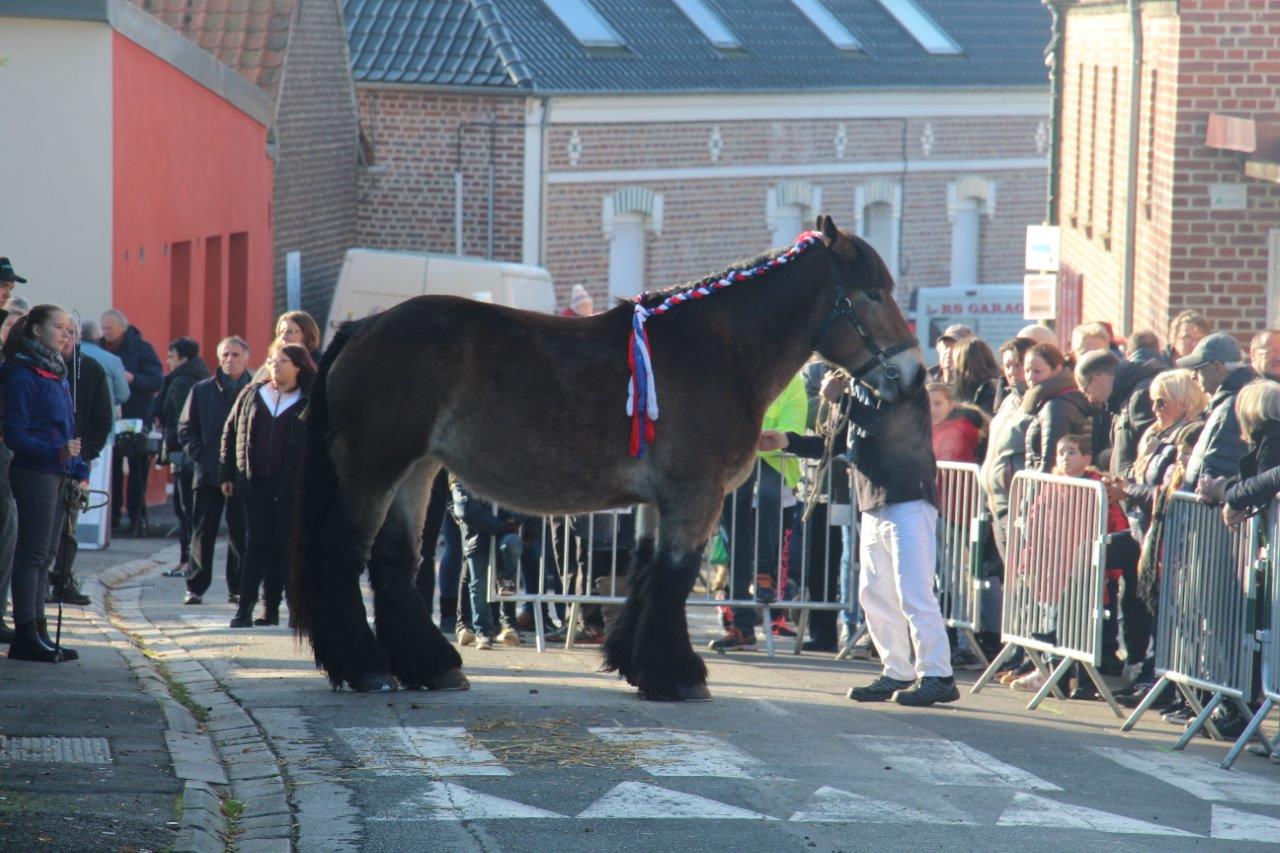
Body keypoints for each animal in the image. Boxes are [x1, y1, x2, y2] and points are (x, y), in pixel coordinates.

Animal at [293, 217, 921, 696]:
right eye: (871, 294)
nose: (915, 375)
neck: (716, 353)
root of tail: (361, 328)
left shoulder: (657, 502)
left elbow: (644, 572)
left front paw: (634, 663)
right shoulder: (696, 496)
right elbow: (673, 577)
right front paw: (677, 675)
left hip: (416, 470)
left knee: (394, 562)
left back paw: (431, 665)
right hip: (373, 470)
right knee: (343, 552)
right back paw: (365, 667)